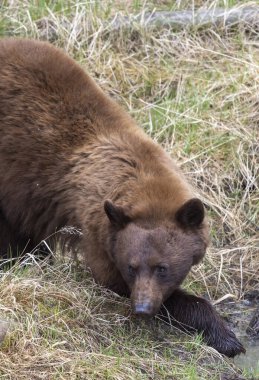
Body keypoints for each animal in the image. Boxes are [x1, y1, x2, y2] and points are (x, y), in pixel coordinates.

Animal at [0, 37, 246, 356]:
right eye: (132, 266)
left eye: (162, 267)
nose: (141, 307)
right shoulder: (96, 227)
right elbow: (110, 277)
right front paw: (225, 336)